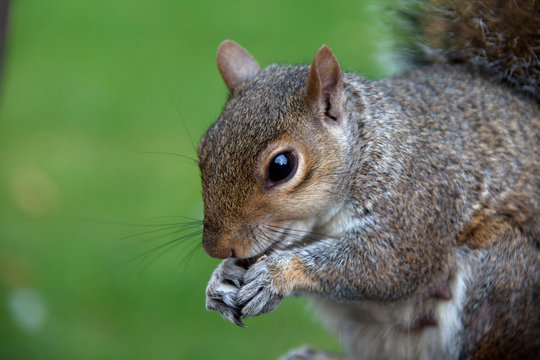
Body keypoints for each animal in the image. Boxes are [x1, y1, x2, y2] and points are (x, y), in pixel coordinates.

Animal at [198, 1, 540, 358]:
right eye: (204, 149)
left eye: (282, 166)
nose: (217, 248)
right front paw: (220, 280)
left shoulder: (415, 201)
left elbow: (386, 265)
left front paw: (275, 274)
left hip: (498, 277)